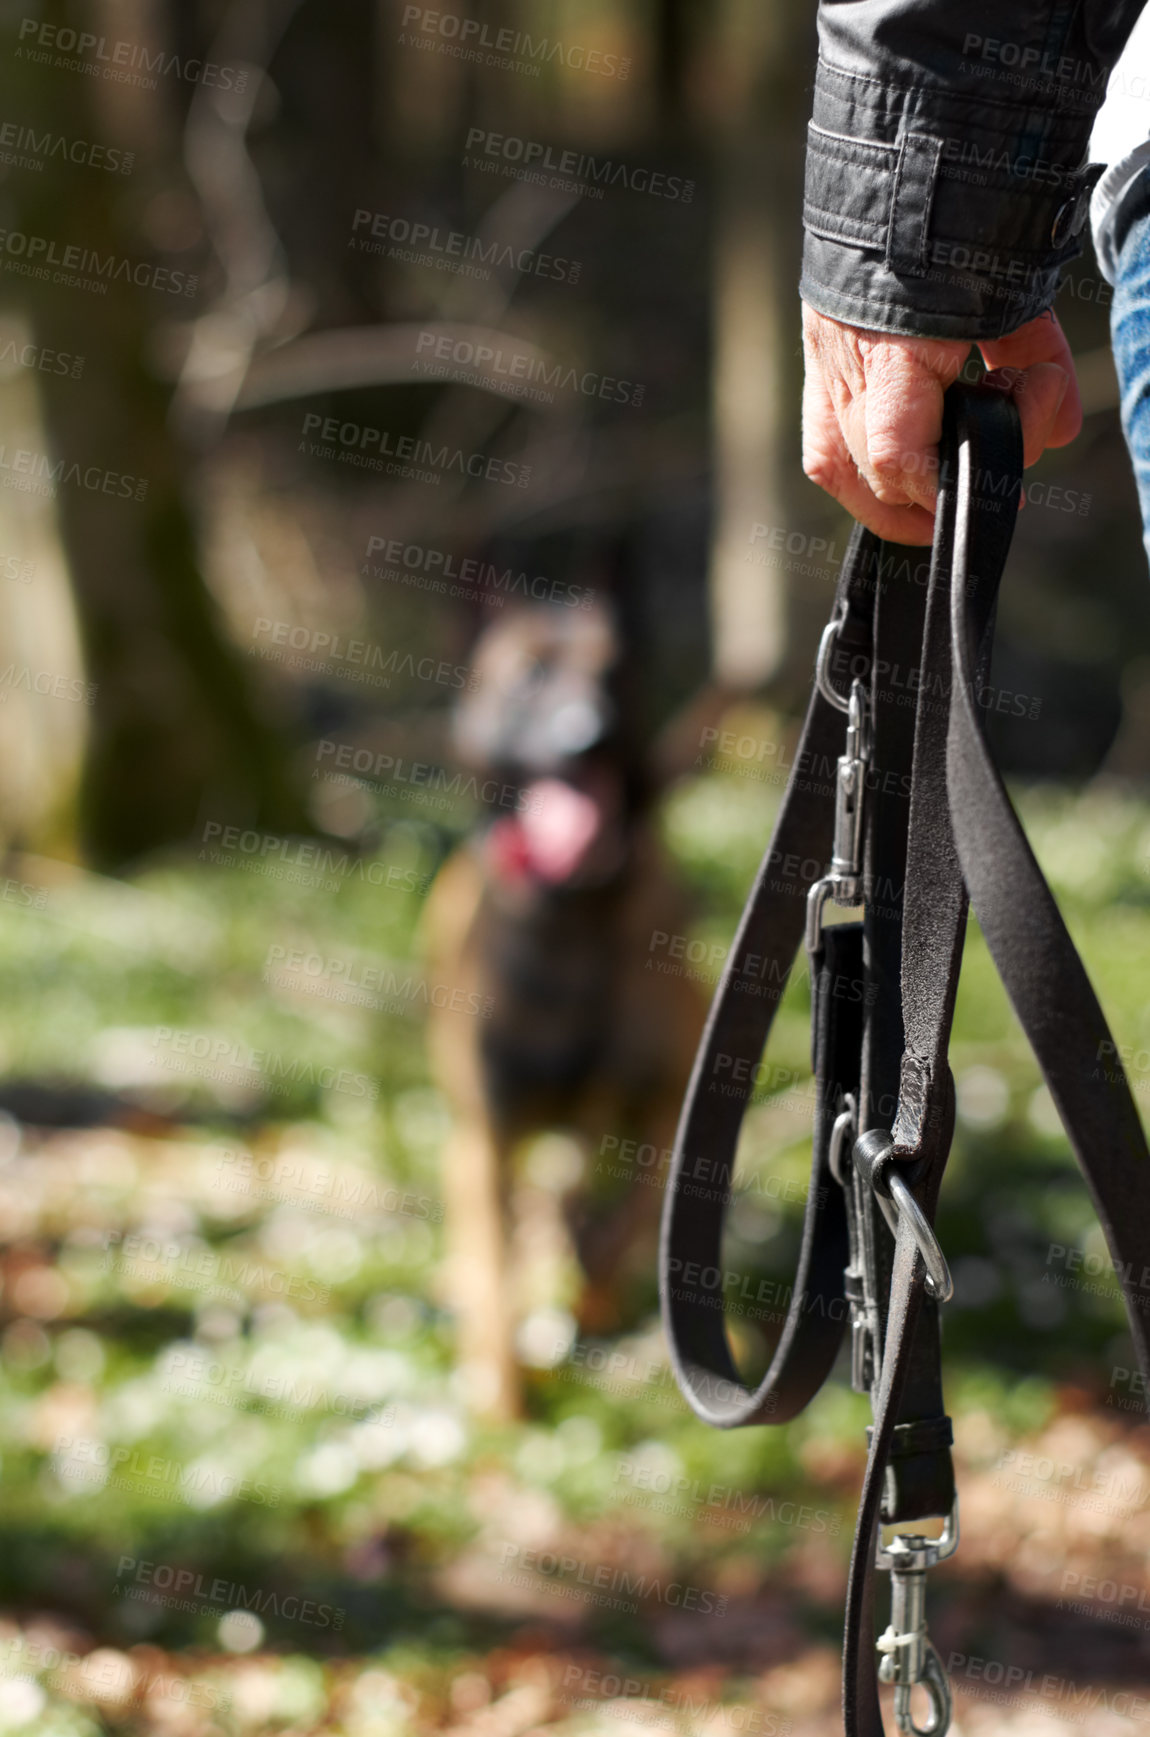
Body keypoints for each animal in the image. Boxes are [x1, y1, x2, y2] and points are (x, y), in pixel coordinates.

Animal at [427, 590, 708, 1417]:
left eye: (615, 672)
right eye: (527, 676)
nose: (587, 737)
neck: (573, 916)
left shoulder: (666, 1113)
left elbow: (628, 1223)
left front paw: (589, 1286)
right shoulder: (485, 1133)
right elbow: (496, 1275)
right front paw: (500, 1403)